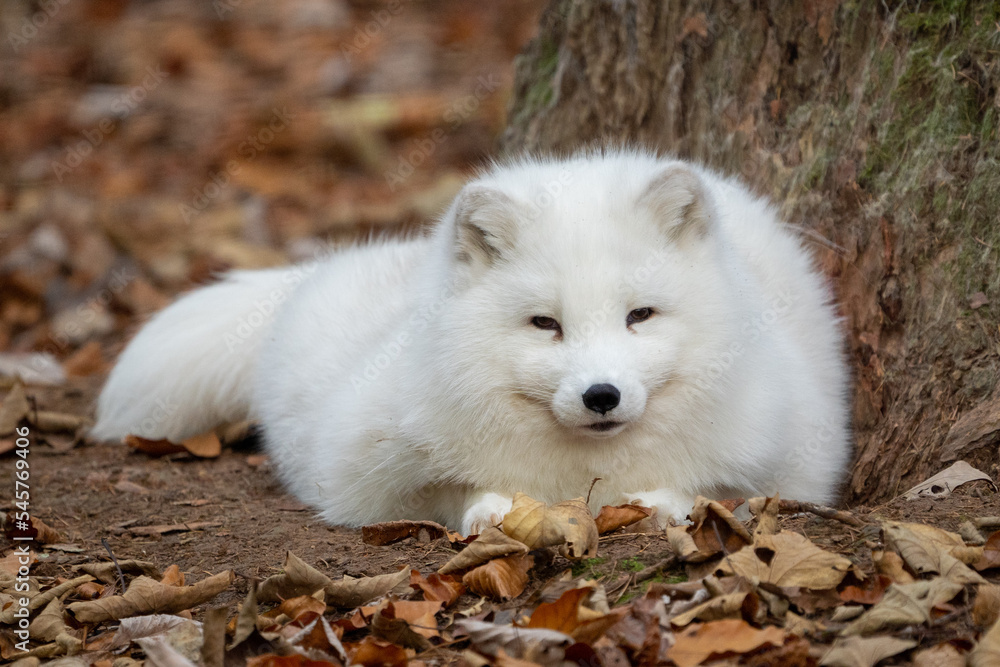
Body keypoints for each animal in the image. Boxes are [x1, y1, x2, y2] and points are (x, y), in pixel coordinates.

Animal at [93, 149, 852, 535]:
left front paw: (655, 502)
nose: (601, 395)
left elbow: (711, 491)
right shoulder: (361, 472)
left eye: (640, 315)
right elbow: (443, 494)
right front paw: (493, 509)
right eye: (545, 323)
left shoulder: (798, 457)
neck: (581, 474)